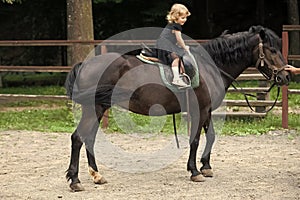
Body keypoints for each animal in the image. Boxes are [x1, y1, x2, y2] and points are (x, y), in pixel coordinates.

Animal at [65, 25, 290, 191]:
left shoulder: (207, 110)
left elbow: (210, 136)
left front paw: (206, 167)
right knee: (78, 138)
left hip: (99, 108)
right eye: (272, 50)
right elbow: (195, 140)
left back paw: (97, 175)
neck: (210, 67)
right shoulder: (200, 110)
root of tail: (85, 64)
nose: (285, 76)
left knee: (89, 139)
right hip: (93, 108)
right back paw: (75, 181)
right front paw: (195, 171)